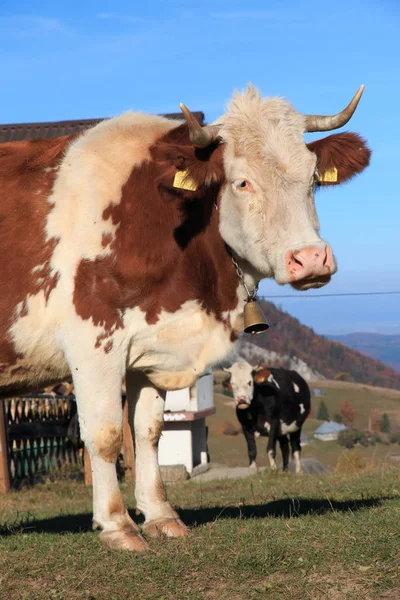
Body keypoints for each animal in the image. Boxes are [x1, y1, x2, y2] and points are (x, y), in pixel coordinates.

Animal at [0, 86, 370, 552]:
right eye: (242, 181)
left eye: (313, 178)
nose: (311, 259)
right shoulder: (93, 341)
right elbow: (105, 435)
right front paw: (117, 525)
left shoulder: (152, 348)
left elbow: (148, 431)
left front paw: (160, 516)